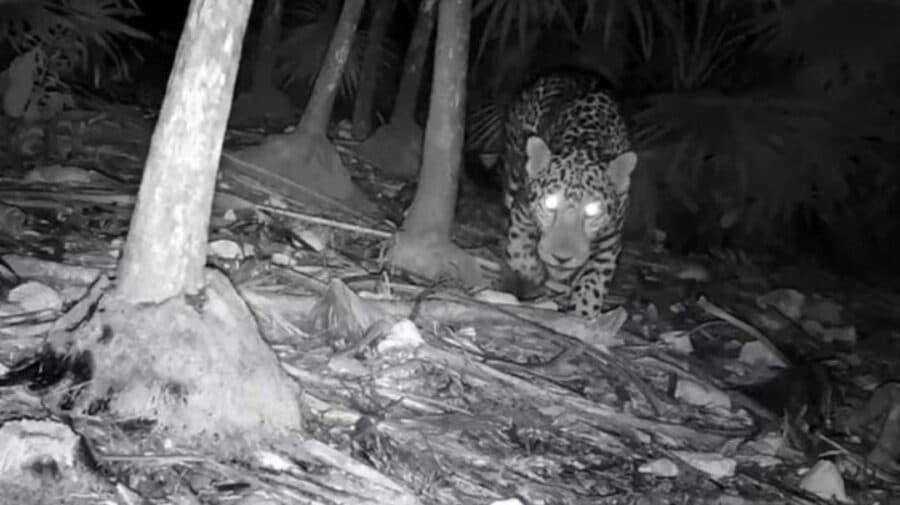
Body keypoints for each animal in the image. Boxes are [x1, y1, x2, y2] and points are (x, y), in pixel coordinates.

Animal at [498, 69, 638, 318]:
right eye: (550, 204)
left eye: (592, 211)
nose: (562, 258)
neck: (584, 143)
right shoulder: (523, 210)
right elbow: (519, 249)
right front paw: (533, 275)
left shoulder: (610, 239)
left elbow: (592, 285)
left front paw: (581, 317)